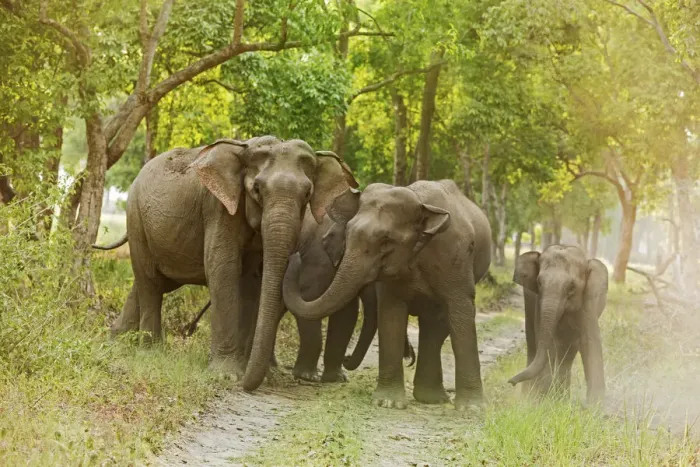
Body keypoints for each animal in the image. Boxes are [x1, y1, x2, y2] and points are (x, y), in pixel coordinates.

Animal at [93, 136, 358, 391]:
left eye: (307, 194)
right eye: (257, 189)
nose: (296, 256)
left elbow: (253, 282)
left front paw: (248, 371)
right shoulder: (218, 208)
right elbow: (223, 268)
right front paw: (228, 375)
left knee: (151, 283)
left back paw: (116, 340)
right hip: (136, 218)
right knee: (149, 280)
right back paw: (149, 351)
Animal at [283, 180, 492, 411]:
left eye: (386, 242)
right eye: (348, 234)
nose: (294, 257)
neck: (420, 202)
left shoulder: (456, 259)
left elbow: (460, 311)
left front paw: (472, 410)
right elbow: (391, 315)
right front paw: (388, 402)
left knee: (437, 327)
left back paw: (433, 398)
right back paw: (431, 397)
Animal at [508, 245, 608, 404]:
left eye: (572, 287)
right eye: (539, 283)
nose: (511, 382)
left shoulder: (588, 300)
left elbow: (589, 340)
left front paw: (594, 406)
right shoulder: (538, 302)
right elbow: (548, 342)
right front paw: (541, 401)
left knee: (570, 351)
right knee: (533, 342)